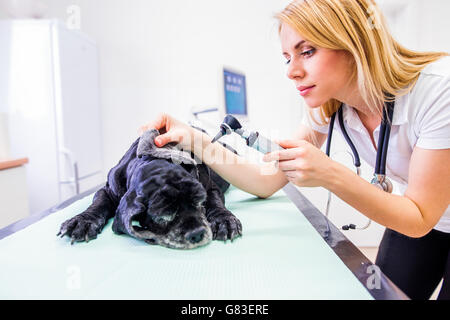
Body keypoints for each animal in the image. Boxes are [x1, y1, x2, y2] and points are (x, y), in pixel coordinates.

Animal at [59, 129, 244, 249]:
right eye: (162, 217)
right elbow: (98, 204)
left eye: (199, 202)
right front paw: (82, 221)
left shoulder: (210, 188)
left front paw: (224, 221)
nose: (197, 233)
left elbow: (215, 204)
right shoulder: (108, 190)